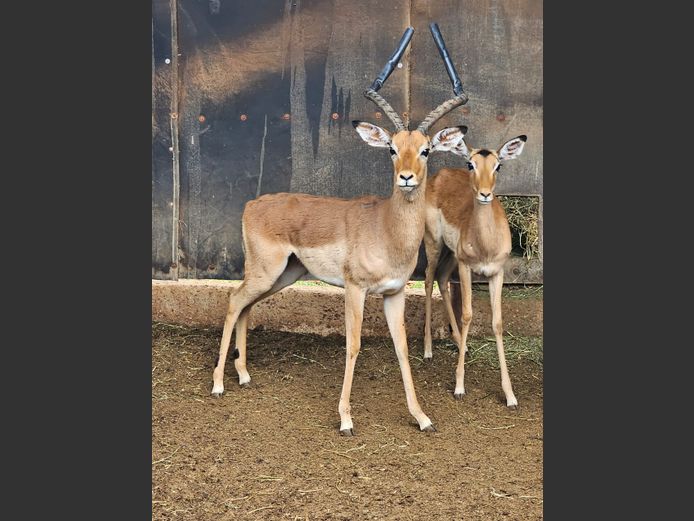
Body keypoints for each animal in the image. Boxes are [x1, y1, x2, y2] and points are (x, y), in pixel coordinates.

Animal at [211, 25, 470, 435]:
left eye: (426, 149)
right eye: (392, 148)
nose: (407, 178)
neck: (386, 230)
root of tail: (253, 204)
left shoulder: (394, 293)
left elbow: (402, 348)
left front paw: (422, 417)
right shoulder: (355, 288)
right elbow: (353, 345)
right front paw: (346, 419)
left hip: (284, 274)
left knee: (246, 305)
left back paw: (244, 375)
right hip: (267, 271)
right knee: (235, 300)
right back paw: (220, 383)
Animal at [422, 133, 528, 408]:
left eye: (498, 165)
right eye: (470, 164)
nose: (485, 194)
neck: (486, 245)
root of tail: (441, 175)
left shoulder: (496, 273)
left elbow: (497, 322)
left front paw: (510, 395)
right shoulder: (466, 267)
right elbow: (468, 314)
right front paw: (459, 386)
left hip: (451, 255)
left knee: (441, 279)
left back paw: (463, 344)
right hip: (434, 244)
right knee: (428, 279)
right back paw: (427, 350)